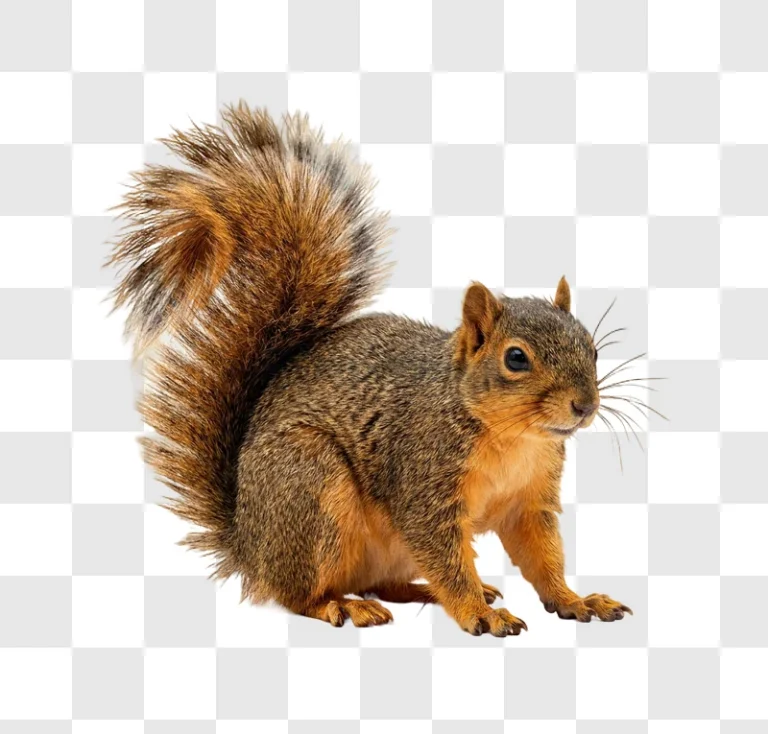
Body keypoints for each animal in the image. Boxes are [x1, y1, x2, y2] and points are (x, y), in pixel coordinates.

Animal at [109, 103, 632, 636]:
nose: (585, 405)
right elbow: (447, 559)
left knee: (385, 584)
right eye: (516, 358)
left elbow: (542, 557)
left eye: (592, 348)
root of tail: (249, 545)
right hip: (311, 487)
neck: (513, 438)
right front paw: (479, 614)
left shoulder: (531, 500)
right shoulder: (424, 483)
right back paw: (341, 605)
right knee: (297, 594)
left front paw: (575, 599)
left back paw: (426, 591)